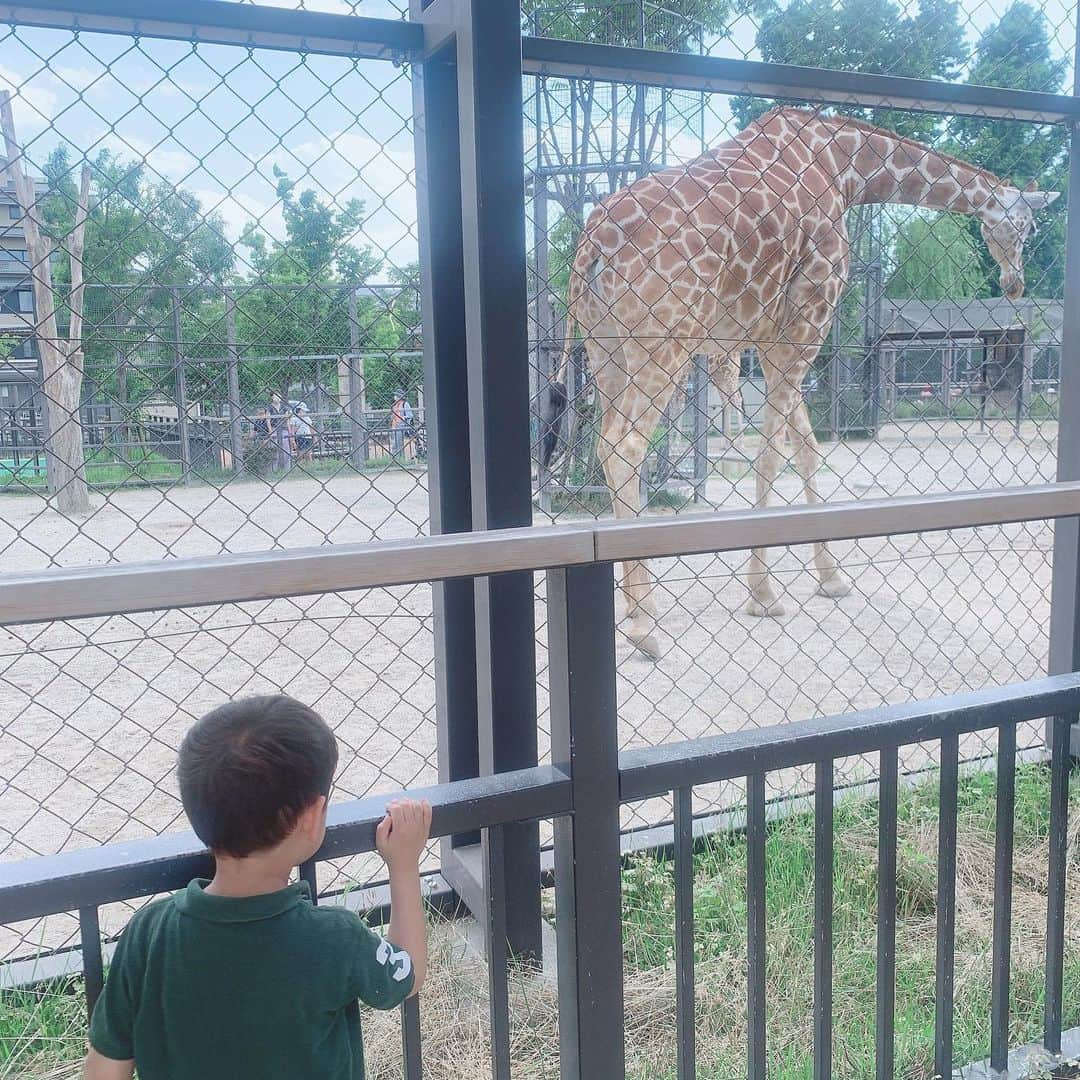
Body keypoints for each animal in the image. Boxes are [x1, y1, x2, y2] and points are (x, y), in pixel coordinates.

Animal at [540, 105, 1054, 656]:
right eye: (1025, 227)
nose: (1015, 283)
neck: (847, 169)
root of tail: (590, 244)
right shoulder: (808, 317)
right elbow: (772, 454)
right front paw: (763, 595)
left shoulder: (771, 338)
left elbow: (806, 447)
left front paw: (830, 579)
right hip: (666, 340)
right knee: (625, 445)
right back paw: (644, 625)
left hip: (608, 347)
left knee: (604, 439)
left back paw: (636, 604)